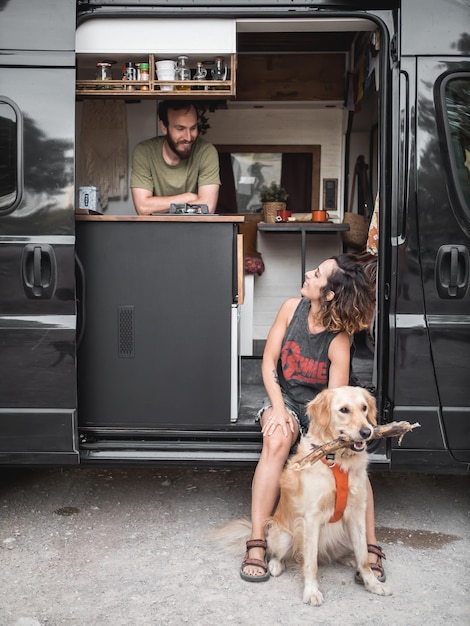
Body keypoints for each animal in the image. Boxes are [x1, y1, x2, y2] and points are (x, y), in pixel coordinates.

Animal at [213, 386, 390, 604]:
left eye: (364, 408)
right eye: (344, 410)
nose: (367, 432)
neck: (336, 459)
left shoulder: (357, 513)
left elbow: (363, 555)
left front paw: (372, 582)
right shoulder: (311, 518)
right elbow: (310, 562)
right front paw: (311, 592)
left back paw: (349, 558)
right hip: (282, 535)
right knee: (279, 553)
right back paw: (274, 564)